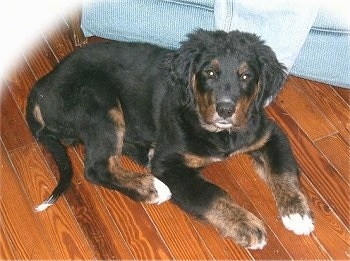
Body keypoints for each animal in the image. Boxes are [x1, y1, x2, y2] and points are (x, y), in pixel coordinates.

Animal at [25, 29, 314, 248]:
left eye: (246, 76)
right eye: (209, 73)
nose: (225, 109)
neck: (218, 133)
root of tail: (42, 85)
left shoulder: (269, 134)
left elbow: (283, 171)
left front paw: (296, 212)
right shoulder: (170, 166)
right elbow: (211, 193)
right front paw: (246, 224)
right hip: (100, 103)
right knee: (97, 167)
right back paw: (150, 187)